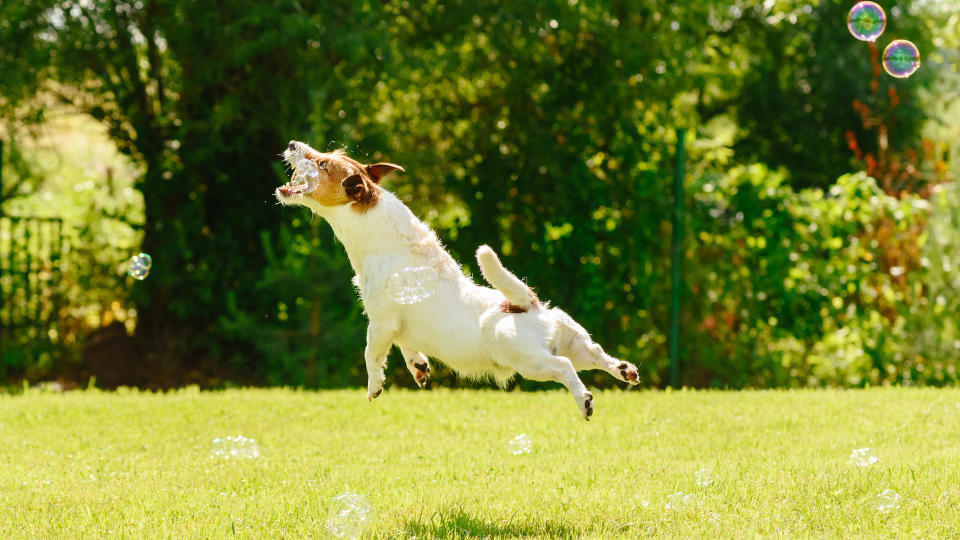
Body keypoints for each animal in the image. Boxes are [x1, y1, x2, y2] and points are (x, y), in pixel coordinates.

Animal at [276, 141, 636, 420]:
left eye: (322, 163)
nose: (292, 144)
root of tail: (522, 304)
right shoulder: (397, 326)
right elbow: (406, 346)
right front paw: (419, 367)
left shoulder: (380, 321)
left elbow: (372, 354)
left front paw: (374, 385)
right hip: (572, 339)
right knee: (596, 355)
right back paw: (624, 370)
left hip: (529, 361)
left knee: (563, 367)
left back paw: (584, 400)